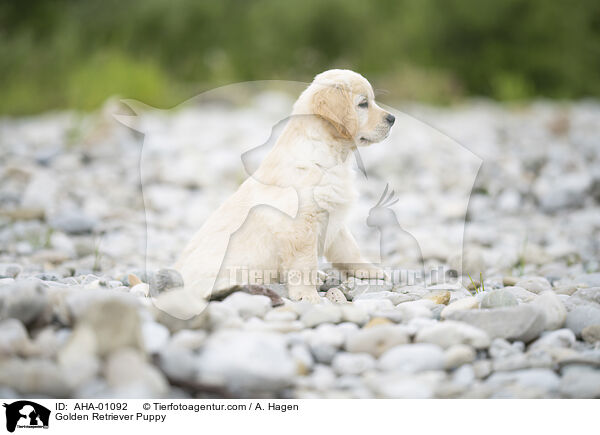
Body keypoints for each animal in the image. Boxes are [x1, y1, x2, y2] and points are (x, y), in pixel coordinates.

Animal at [172, 68, 394, 308]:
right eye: (363, 104)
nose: (392, 118)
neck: (330, 154)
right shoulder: (301, 225)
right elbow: (305, 263)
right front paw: (307, 294)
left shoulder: (334, 215)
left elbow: (349, 248)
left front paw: (368, 270)